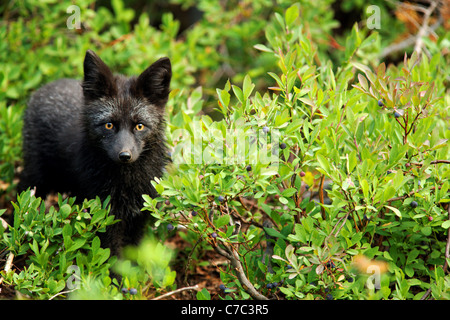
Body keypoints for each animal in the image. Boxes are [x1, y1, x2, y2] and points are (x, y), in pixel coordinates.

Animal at [18, 49, 171, 255]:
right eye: (109, 125)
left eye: (139, 126)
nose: (125, 156)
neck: (127, 183)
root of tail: (44, 88)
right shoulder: (104, 215)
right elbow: (111, 256)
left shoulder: (140, 214)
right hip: (37, 180)